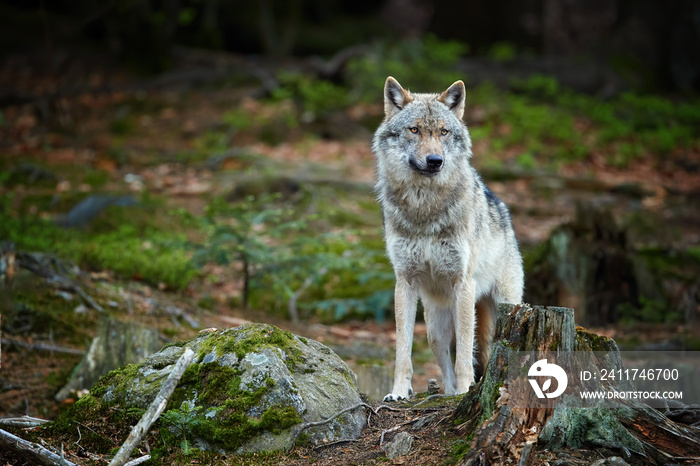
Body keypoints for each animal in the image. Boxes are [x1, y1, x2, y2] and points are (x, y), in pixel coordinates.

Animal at [374, 75, 524, 400]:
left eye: (443, 132)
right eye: (414, 129)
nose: (435, 160)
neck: (424, 208)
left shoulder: (463, 283)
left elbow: (465, 352)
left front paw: (467, 389)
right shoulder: (404, 282)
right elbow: (402, 351)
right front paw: (399, 392)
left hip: (505, 308)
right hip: (434, 327)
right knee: (444, 361)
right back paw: (447, 392)